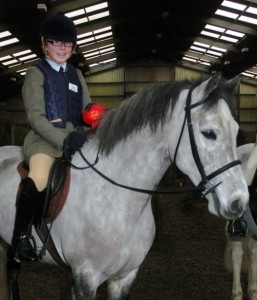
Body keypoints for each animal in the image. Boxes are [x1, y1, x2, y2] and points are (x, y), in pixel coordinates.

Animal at [0, 73, 248, 300]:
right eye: (209, 133)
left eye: (236, 131)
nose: (239, 202)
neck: (116, 199)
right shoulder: (84, 278)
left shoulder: (125, 277)